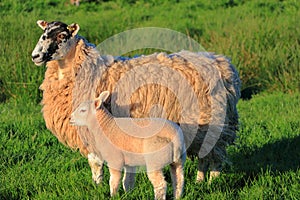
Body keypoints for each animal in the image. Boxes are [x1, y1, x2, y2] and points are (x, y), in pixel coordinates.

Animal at [31, 20, 240, 186]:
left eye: (62, 35)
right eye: (43, 33)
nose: (35, 56)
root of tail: (223, 64)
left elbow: (95, 161)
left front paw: (98, 185)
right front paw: (98, 184)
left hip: (214, 122)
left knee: (214, 156)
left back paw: (211, 182)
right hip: (203, 126)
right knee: (204, 155)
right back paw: (199, 181)